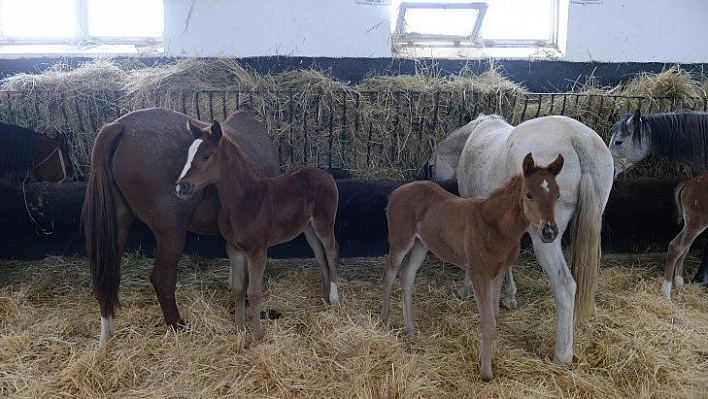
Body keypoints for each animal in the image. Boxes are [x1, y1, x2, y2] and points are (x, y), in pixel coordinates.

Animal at [82, 107, 280, 346]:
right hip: (171, 232)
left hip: (117, 229)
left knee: (108, 279)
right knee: (162, 279)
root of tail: (120, 126)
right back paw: (176, 325)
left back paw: (107, 337)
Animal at [432, 114, 612, 368]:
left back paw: (562, 355)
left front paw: (466, 289)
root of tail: (579, 139)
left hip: (545, 238)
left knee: (565, 285)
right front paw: (508, 297)